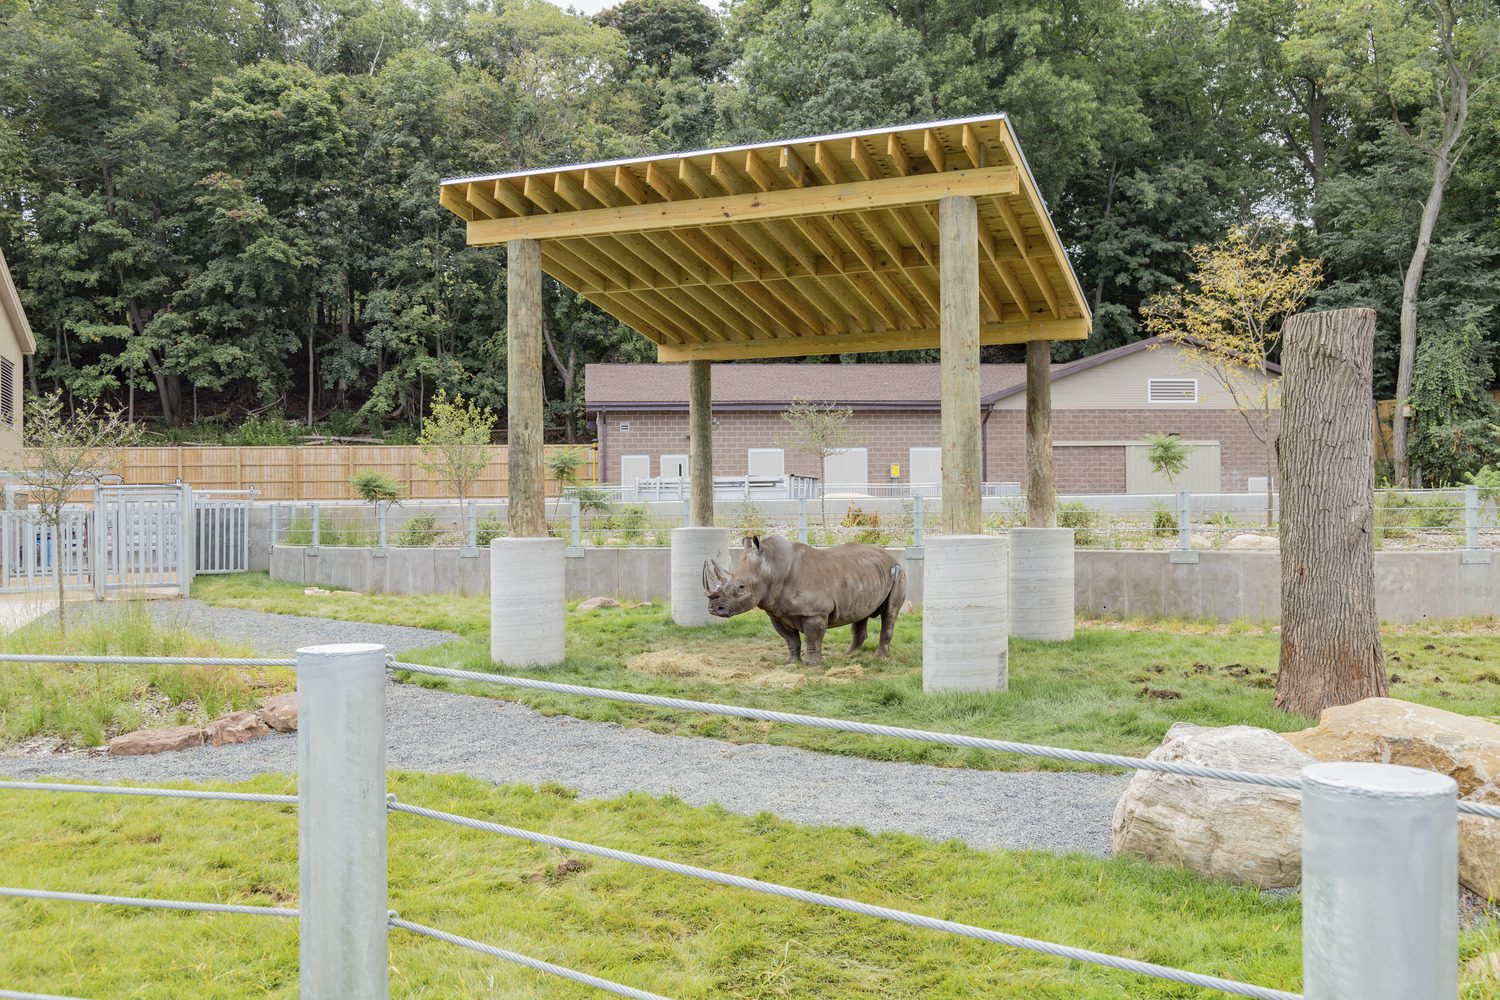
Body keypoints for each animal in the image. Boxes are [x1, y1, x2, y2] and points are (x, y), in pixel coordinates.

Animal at [702, 534, 905, 666]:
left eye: (741, 587)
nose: (713, 608)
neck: (772, 567)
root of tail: (889, 555)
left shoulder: (815, 613)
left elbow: (812, 638)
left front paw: (812, 664)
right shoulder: (776, 613)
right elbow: (791, 640)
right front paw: (791, 662)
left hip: (897, 570)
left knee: (890, 613)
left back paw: (880, 657)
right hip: (864, 573)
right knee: (861, 613)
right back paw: (849, 654)